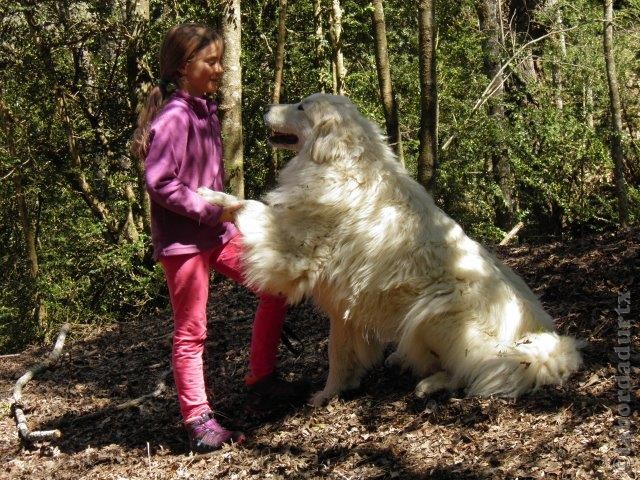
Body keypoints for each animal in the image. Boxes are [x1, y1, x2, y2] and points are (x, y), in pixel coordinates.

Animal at [199, 93, 580, 404]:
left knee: (474, 369)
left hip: (438, 312)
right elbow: (340, 351)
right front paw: (336, 390)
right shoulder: (342, 304)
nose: (264, 107)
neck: (338, 163)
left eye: (302, 107)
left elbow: (252, 208)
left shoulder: (290, 249)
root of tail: (545, 339)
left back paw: (432, 382)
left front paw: (214, 197)